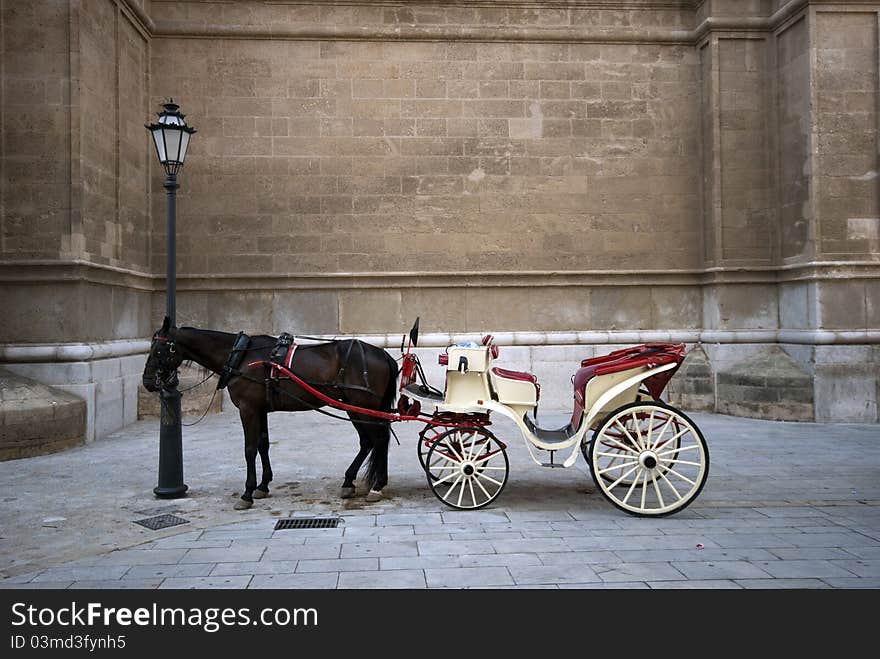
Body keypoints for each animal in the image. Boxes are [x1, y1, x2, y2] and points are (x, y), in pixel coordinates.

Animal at [141, 318, 398, 510]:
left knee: (378, 439)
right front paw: (262, 486)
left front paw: (247, 492)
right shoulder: (260, 409)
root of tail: (382, 354)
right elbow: (263, 445)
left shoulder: (248, 409)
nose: (147, 382)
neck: (241, 356)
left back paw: (377, 485)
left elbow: (249, 449)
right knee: (369, 441)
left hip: (361, 404)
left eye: (158, 349)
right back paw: (351, 481)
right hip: (354, 405)